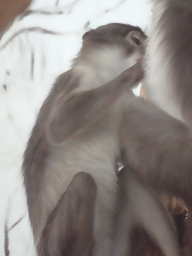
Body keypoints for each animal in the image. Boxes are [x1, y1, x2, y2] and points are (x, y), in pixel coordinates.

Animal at [22, 22, 180, 256]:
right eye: (137, 40)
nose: (147, 51)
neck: (104, 76)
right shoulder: (78, 77)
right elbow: (58, 127)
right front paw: (137, 71)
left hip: (116, 245)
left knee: (130, 178)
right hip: (55, 245)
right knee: (83, 182)